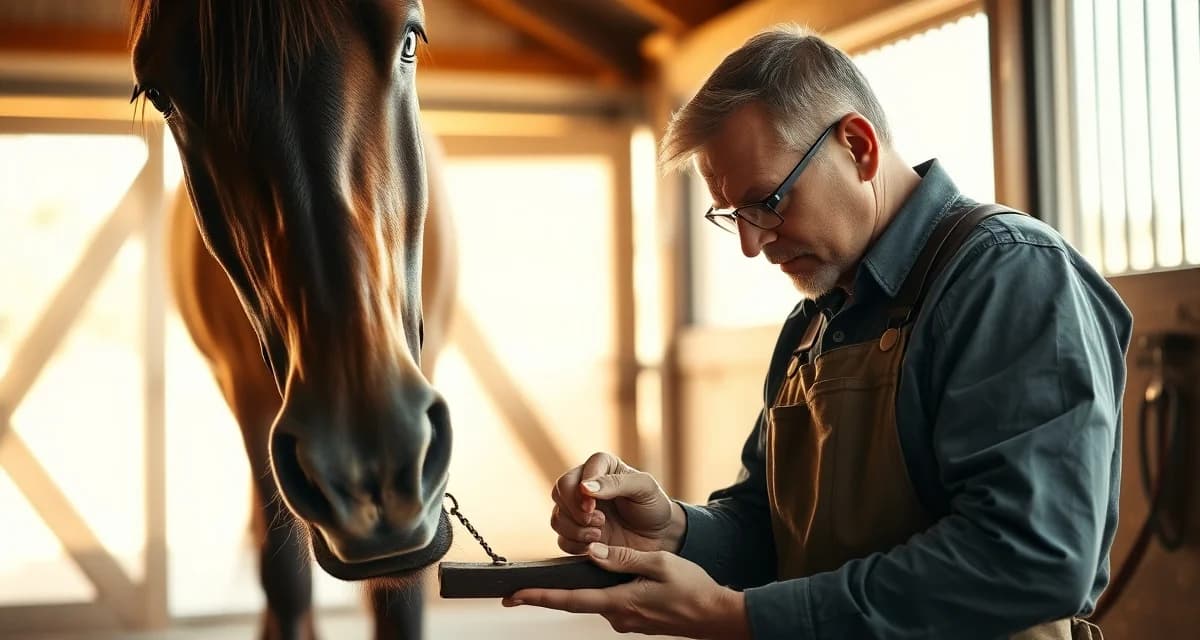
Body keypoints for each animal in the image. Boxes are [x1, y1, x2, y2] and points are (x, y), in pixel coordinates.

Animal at [129, 1, 456, 637]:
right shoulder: (250, 400)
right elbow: (284, 577)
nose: (368, 472)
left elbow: (401, 605)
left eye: (410, 38)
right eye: (159, 95)